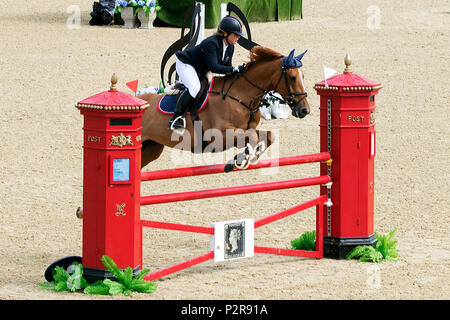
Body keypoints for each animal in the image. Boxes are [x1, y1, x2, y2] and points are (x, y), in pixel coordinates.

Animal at [138, 46, 310, 171]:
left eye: (303, 76)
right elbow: (252, 137)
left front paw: (247, 157)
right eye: (292, 78)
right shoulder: (219, 135)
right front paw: (243, 159)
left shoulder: (249, 128)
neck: (241, 95)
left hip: (151, 148)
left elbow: (268, 136)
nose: (304, 110)